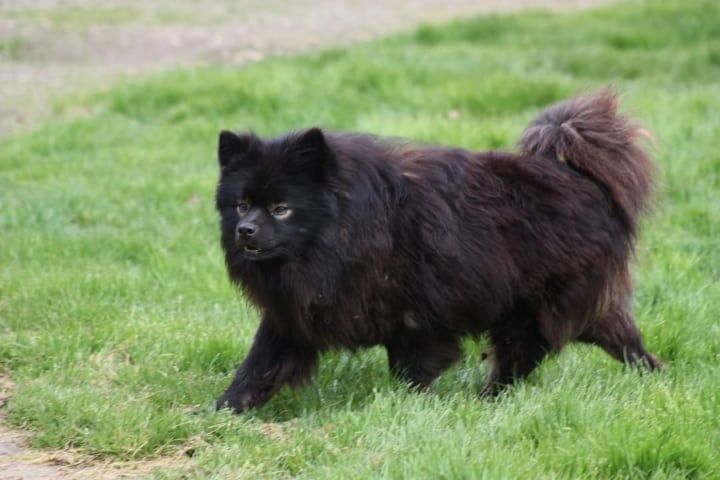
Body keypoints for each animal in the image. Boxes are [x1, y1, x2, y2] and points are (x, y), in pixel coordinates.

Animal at [215, 87, 664, 412]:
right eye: (242, 204)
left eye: (281, 208)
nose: (245, 230)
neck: (345, 230)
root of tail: (583, 181)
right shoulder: (296, 312)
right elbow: (259, 364)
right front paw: (225, 410)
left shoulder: (418, 319)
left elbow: (411, 370)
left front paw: (412, 407)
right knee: (621, 338)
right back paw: (655, 373)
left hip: (532, 309)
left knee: (519, 357)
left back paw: (486, 401)